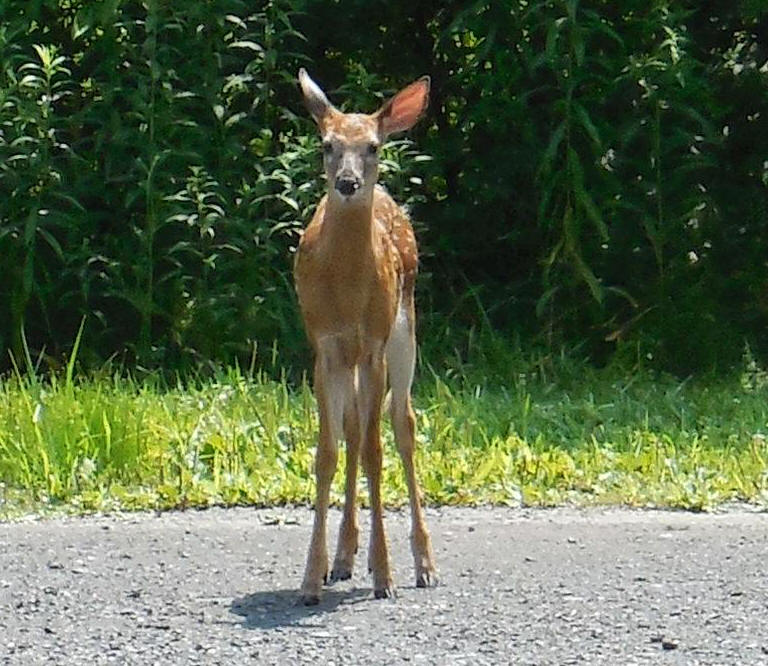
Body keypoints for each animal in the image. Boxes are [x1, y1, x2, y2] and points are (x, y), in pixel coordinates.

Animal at [293, 68, 438, 605]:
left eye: (373, 146)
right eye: (327, 144)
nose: (348, 183)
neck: (347, 288)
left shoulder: (374, 343)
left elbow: (377, 452)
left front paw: (385, 576)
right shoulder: (324, 346)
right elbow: (328, 452)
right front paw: (311, 578)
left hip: (405, 330)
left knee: (403, 425)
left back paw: (423, 564)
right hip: (354, 357)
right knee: (355, 429)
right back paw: (343, 557)